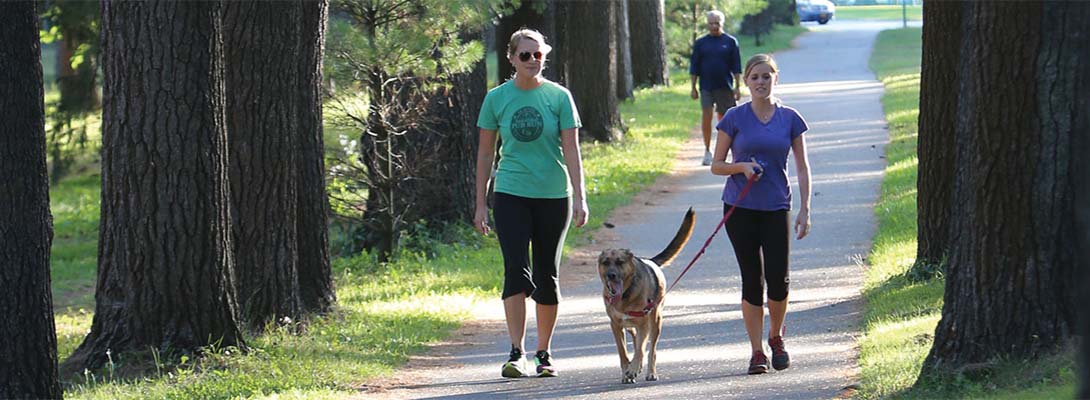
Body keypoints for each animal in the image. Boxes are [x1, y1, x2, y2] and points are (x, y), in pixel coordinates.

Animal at [601, 208, 693, 383]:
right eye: (605, 262)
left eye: (620, 262)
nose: (611, 275)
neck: (625, 295)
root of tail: (651, 261)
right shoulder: (616, 325)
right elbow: (623, 353)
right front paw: (627, 371)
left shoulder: (643, 324)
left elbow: (640, 350)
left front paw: (633, 368)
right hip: (631, 325)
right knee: (636, 339)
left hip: (656, 320)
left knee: (651, 350)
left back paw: (650, 372)